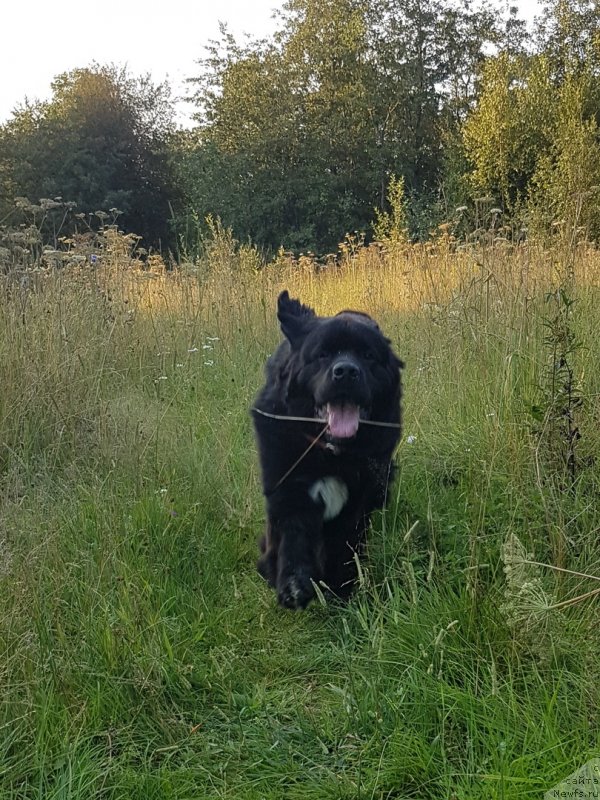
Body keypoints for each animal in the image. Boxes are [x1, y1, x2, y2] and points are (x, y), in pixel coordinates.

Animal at [248, 290, 404, 608]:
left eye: (368, 355)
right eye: (322, 355)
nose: (345, 372)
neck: (330, 453)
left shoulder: (356, 504)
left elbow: (342, 547)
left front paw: (339, 589)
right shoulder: (287, 488)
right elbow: (292, 537)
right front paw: (292, 585)